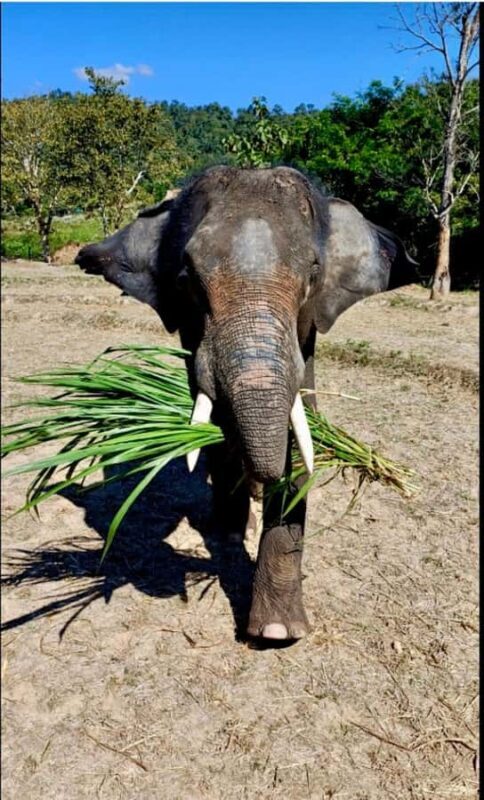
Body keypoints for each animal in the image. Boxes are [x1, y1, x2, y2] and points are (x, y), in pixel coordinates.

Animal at [75, 165, 418, 643]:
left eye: (313, 274)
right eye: (187, 279)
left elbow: (302, 437)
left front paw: (276, 633)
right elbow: (214, 428)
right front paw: (228, 535)